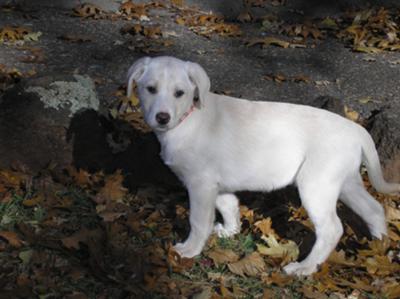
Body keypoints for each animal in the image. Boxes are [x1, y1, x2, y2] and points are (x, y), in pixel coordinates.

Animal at [126, 56, 398, 276]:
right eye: (150, 89)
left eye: (179, 93)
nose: (162, 118)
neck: (188, 118)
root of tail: (357, 130)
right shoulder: (216, 183)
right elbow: (228, 205)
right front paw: (230, 230)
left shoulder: (200, 183)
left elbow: (198, 220)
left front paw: (190, 249)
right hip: (345, 182)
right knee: (374, 209)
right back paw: (380, 246)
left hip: (316, 185)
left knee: (332, 228)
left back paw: (304, 268)